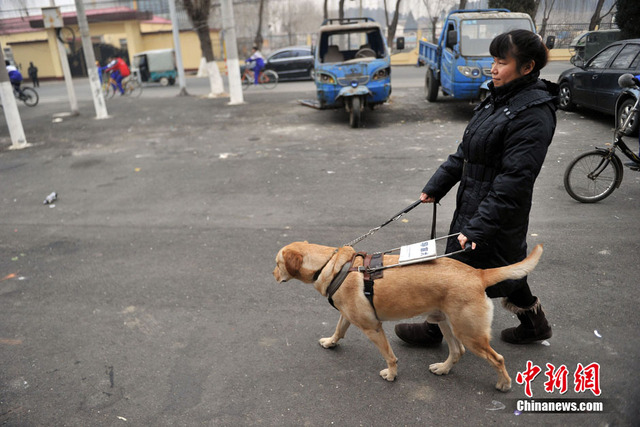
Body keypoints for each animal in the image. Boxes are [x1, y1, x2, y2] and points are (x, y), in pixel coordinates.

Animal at [272, 241, 544, 392]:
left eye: (276, 263)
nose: (272, 275)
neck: (331, 264)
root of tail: (478, 273)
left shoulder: (373, 327)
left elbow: (389, 356)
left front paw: (391, 374)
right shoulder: (348, 316)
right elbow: (339, 330)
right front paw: (330, 342)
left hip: (469, 333)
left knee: (497, 358)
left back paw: (504, 384)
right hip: (446, 322)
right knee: (457, 351)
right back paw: (443, 368)